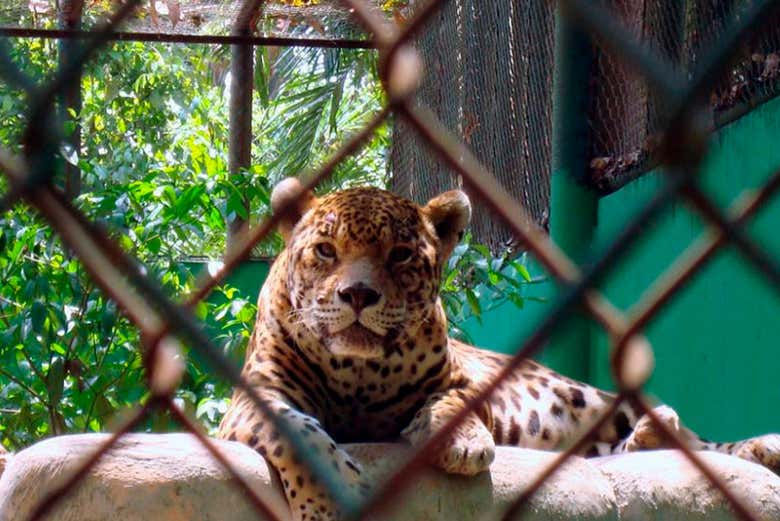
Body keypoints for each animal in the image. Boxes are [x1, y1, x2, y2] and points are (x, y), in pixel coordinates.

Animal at [218, 177, 780, 521]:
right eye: (325, 251)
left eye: (400, 255)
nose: (358, 294)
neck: (357, 373)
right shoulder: (251, 400)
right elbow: (296, 432)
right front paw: (332, 500)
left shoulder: (465, 381)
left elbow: (455, 400)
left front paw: (460, 440)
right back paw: (650, 437)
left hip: (590, 397)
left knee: (702, 443)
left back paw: (750, 446)